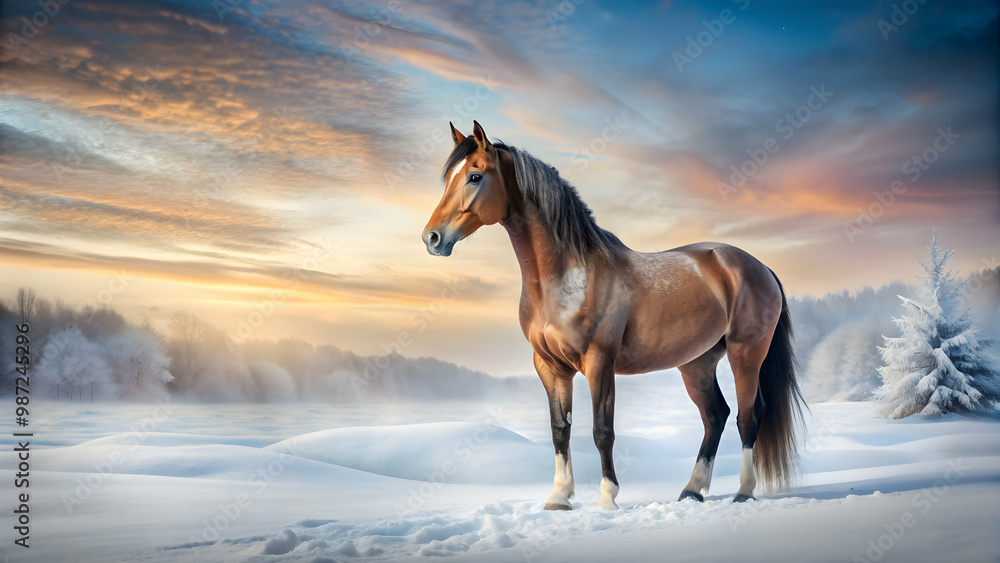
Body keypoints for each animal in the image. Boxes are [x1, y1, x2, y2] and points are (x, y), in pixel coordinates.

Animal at [421, 121, 805, 510]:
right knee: (715, 416)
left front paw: (607, 499)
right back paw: (692, 490)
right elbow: (560, 430)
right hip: (697, 362)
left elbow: (602, 431)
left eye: (474, 176)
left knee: (748, 417)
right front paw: (559, 497)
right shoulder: (549, 366)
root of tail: (758, 266)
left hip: (746, 353)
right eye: (449, 178)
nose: (432, 238)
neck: (565, 276)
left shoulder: (599, 362)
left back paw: (743, 491)